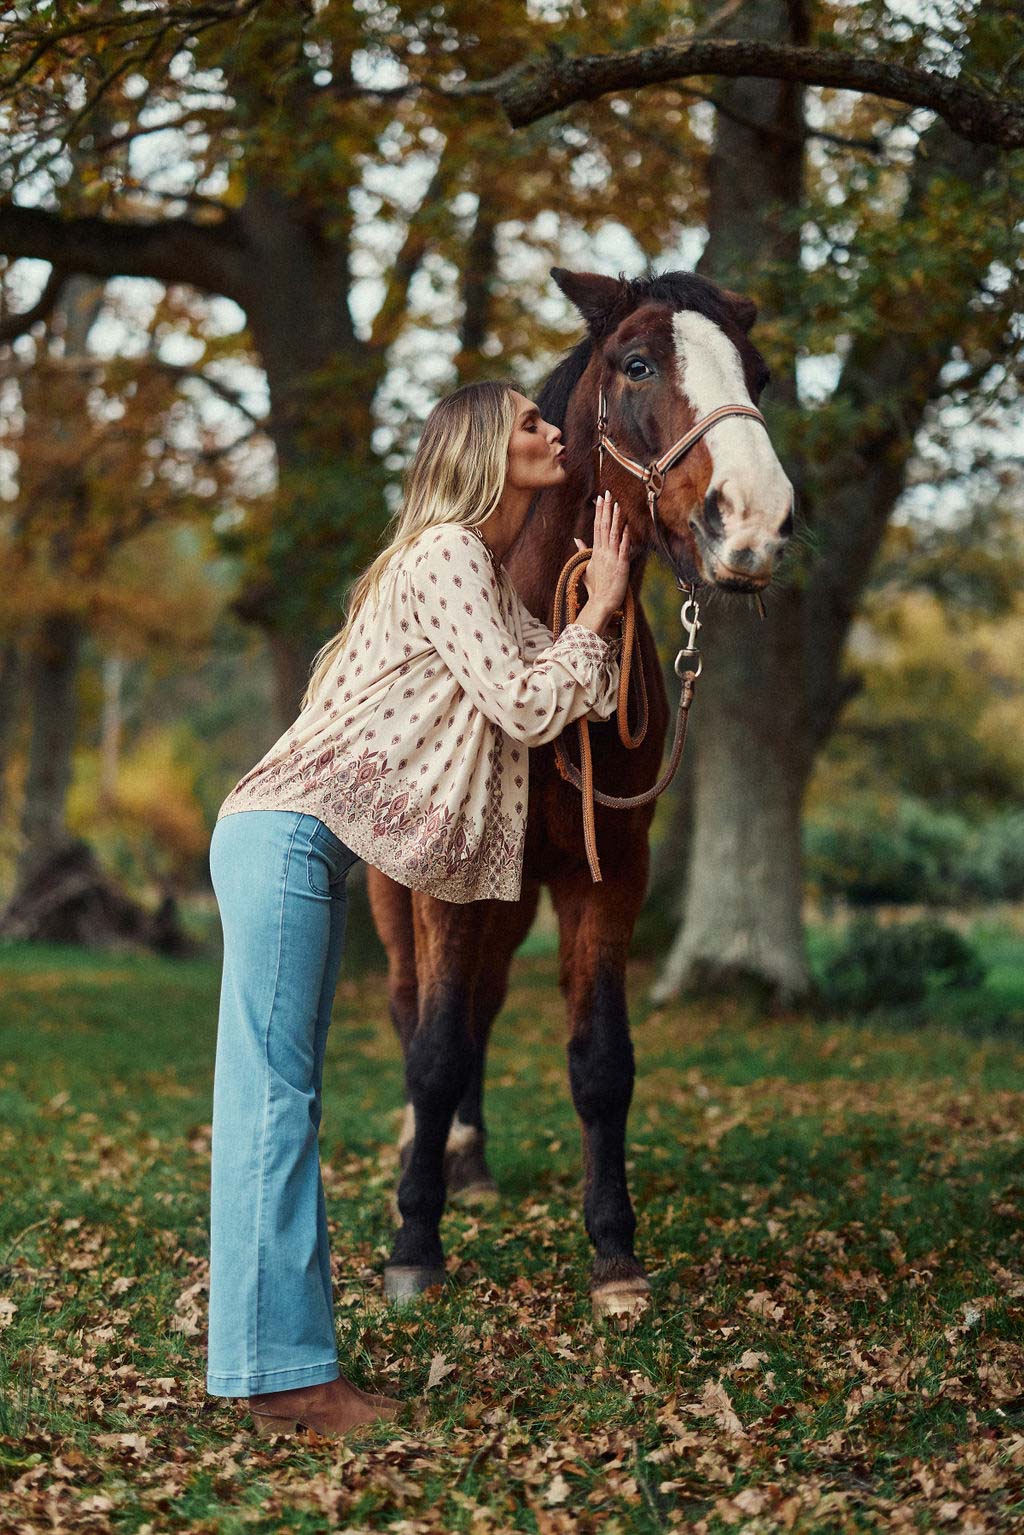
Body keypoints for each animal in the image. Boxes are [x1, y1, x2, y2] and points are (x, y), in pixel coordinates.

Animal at [366, 264, 792, 1320]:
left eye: (759, 374)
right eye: (637, 364)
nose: (755, 524)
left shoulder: (608, 877)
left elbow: (601, 1063)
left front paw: (615, 1255)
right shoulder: (443, 889)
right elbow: (432, 1051)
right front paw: (413, 1243)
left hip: (511, 901)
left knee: (480, 1006)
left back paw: (470, 1167)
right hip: (402, 897)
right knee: (415, 1011)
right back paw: (426, 1163)